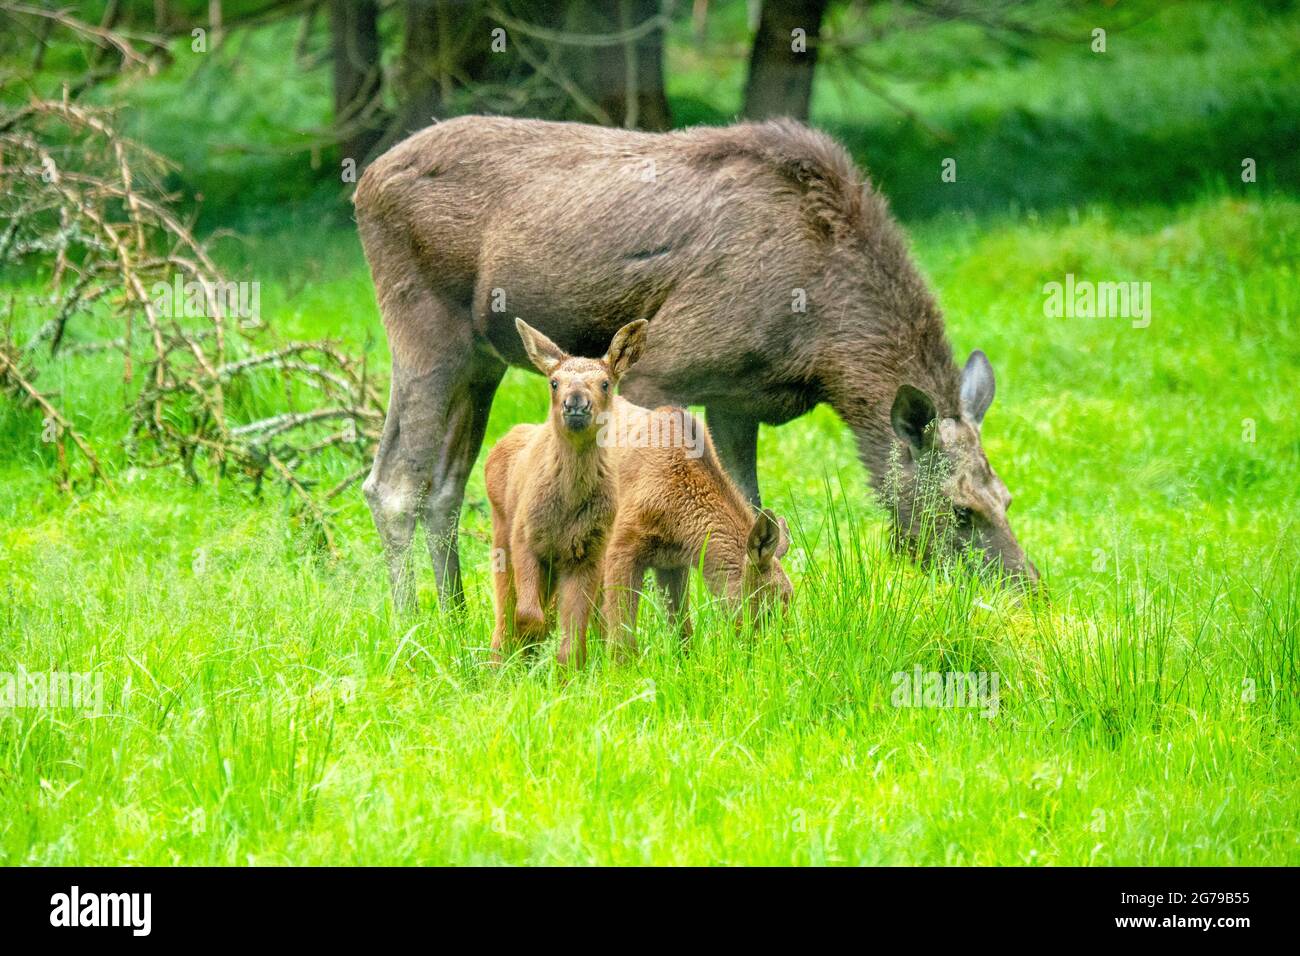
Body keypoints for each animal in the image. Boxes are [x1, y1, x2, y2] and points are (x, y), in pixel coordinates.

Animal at [353, 115, 1034, 608]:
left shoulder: (739, 400)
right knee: (393, 485)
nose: (1029, 591)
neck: (824, 344)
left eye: (1005, 497)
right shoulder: (662, 370)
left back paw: (458, 618)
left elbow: (753, 510)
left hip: (482, 362)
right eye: (960, 510)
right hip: (425, 335)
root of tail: (363, 185)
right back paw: (412, 625)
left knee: (444, 490)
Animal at [486, 319, 647, 665]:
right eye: (554, 382)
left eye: (605, 383)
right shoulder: (525, 538)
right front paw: (531, 642)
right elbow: (528, 615)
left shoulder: (588, 553)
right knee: (504, 615)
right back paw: (498, 663)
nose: (575, 403)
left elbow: (572, 644)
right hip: (501, 537)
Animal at [598, 395, 790, 658]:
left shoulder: (672, 564)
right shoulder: (622, 547)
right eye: (770, 604)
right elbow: (622, 633)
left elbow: (682, 629)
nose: (774, 654)